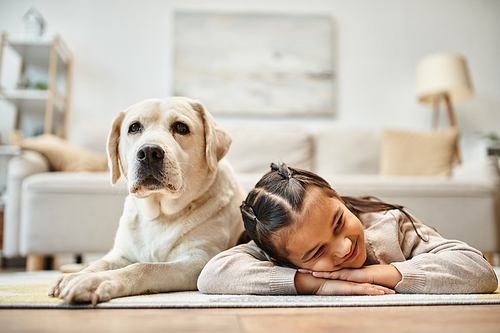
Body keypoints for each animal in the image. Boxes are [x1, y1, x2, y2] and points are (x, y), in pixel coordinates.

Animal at [49, 96, 245, 304]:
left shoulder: (198, 260)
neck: (160, 216)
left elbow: (144, 266)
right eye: (134, 127)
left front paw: (94, 282)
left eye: (181, 127)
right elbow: (100, 263)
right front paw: (77, 276)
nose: (149, 152)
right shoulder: (121, 253)